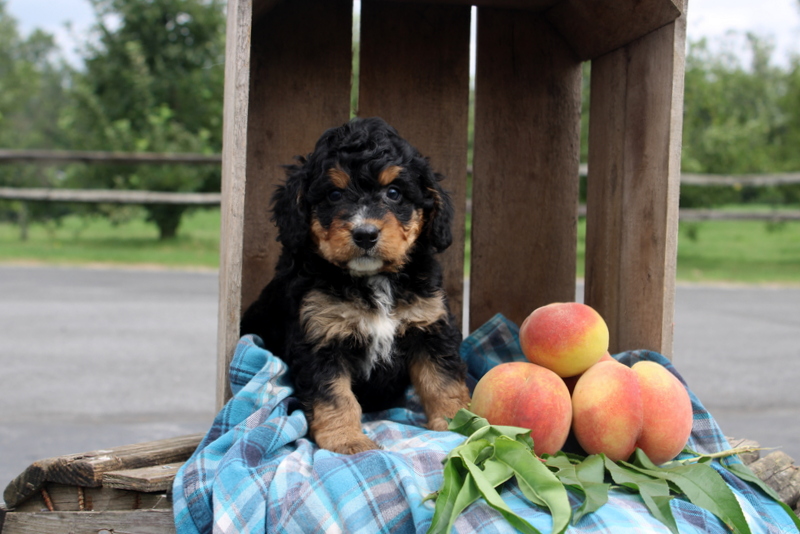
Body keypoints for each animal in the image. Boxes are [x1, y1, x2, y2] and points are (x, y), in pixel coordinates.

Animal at [241, 118, 472, 456]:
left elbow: (442, 381)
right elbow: (336, 396)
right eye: (335, 195)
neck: (373, 279)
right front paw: (347, 440)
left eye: (393, 193)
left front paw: (461, 423)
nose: (365, 234)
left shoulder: (429, 326)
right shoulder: (320, 339)